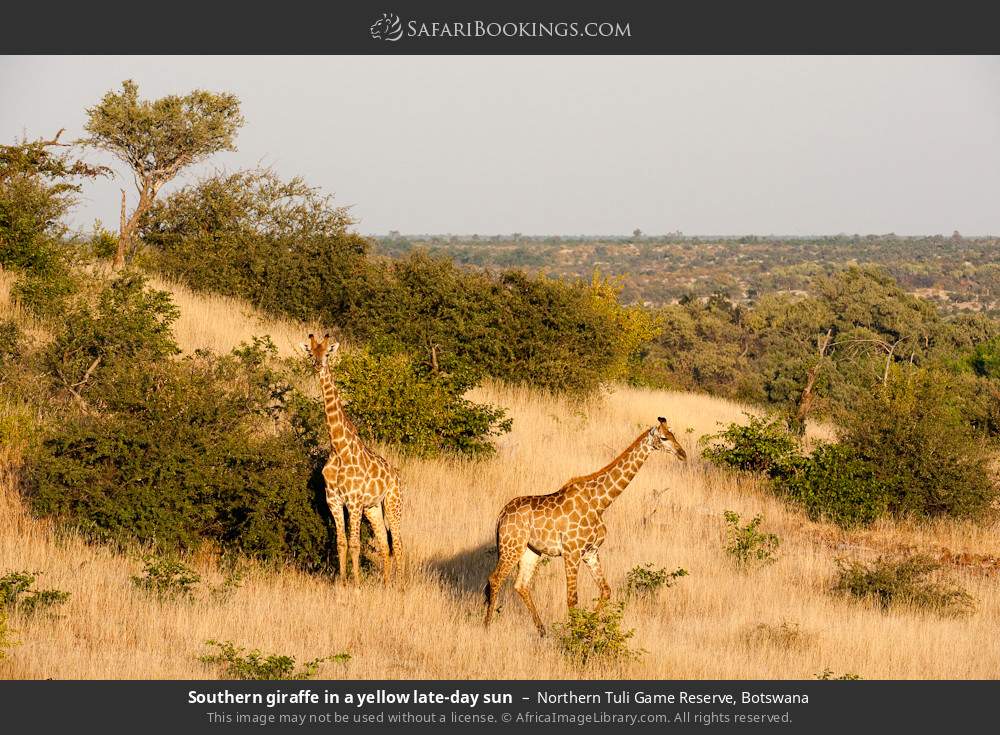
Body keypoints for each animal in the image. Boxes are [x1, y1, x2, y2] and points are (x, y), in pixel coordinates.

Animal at [301, 333, 403, 584]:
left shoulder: (354, 502)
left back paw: (401, 586)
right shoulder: (334, 501)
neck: (338, 448)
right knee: (385, 544)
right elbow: (341, 543)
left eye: (327, 353)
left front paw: (356, 585)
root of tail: (396, 476)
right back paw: (386, 584)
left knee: (398, 543)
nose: (318, 365)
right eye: (312, 352)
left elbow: (355, 544)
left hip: (393, 502)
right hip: (373, 508)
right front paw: (342, 583)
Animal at [483, 417, 686, 635]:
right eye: (663, 438)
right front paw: (575, 637)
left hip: (531, 550)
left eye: (674, 435)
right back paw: (487, 627)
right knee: (495, 579)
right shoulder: (572, 552)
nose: (682, 454)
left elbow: (606, 590)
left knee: (521, 585)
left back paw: (542, 631)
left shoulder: (591, 552)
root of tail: (501, 515)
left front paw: (589, 631)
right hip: (512, 546)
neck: (600, 503)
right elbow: (572, 598)